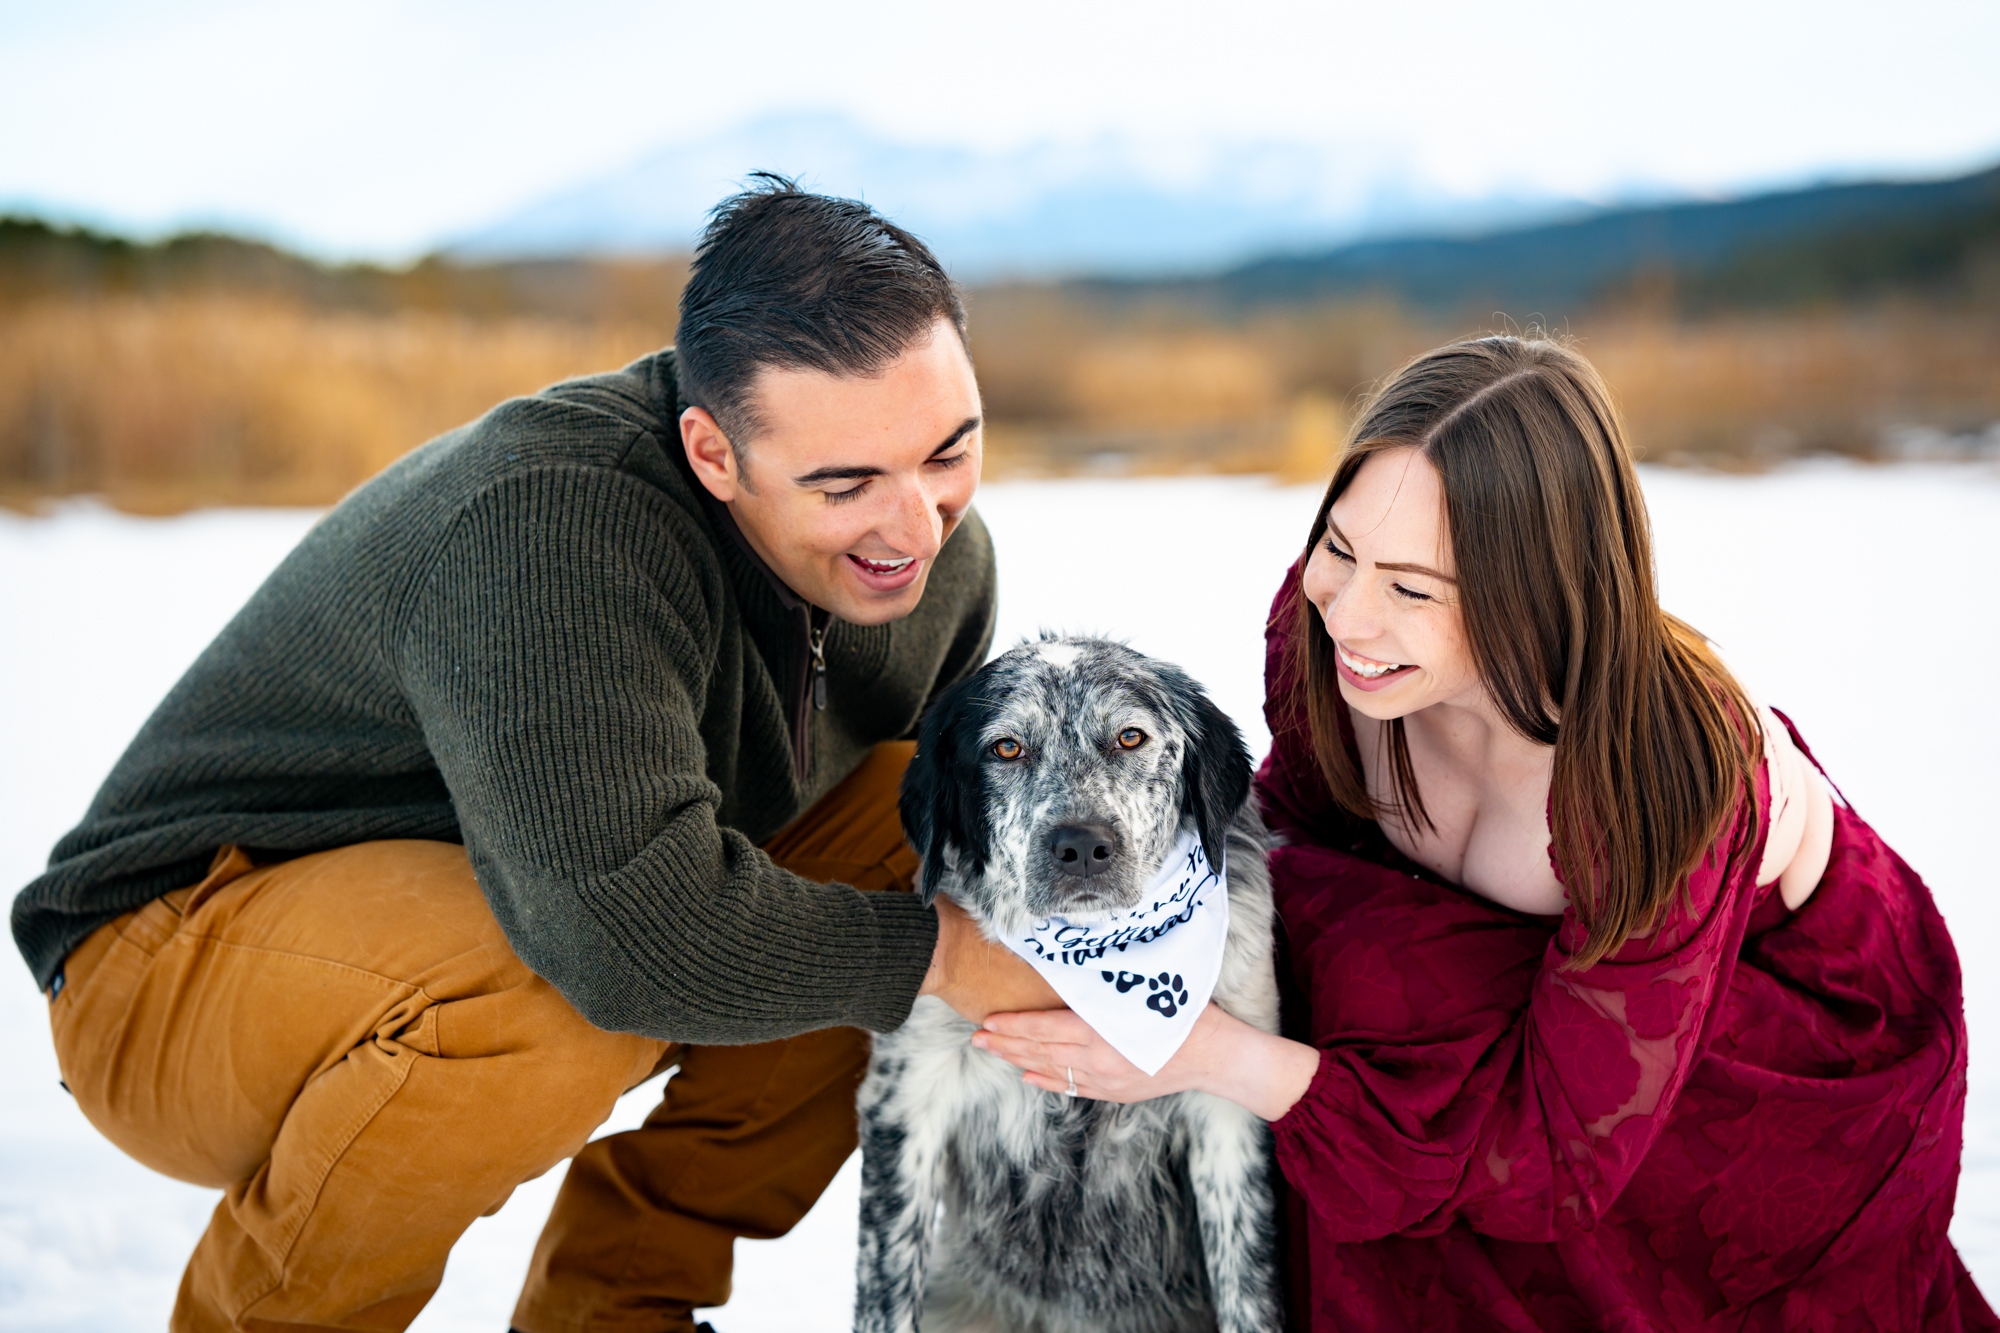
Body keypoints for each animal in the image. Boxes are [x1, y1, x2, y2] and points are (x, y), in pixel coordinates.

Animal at [856, 632, 1288, 1328]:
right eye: (1006, 748)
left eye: (1131, 737)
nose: (1082, 845)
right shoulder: (907, 1098)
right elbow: (886, 1293)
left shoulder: (1228, 1112)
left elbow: (1247, 1291)